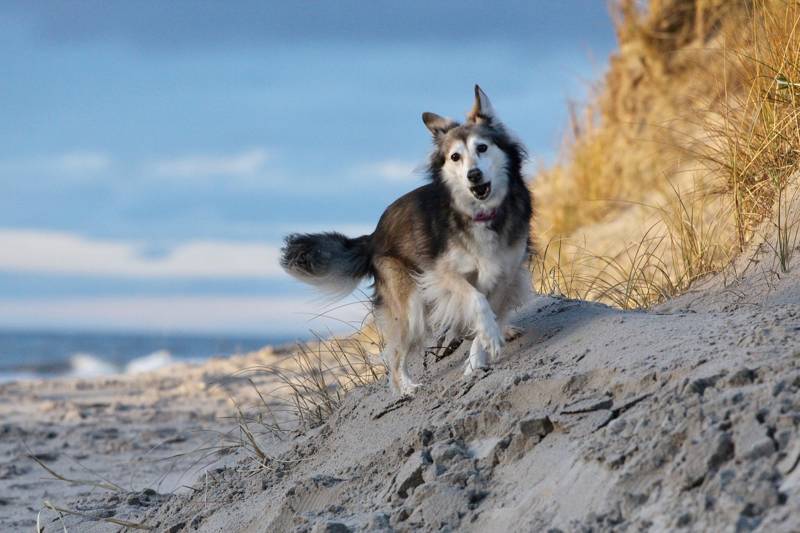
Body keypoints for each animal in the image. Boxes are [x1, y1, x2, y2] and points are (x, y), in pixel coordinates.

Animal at [280, 86, 532, 394]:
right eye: (455, 157)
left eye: (482, 148)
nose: (474, 176)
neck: (479, 214)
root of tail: (373, 236)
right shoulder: (439, 274)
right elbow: (476, 300)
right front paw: (488, 338)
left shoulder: (504, 273)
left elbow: (486, 313)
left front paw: (478, 358)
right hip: (409, 303)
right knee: (396, 354)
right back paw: (407, 387)